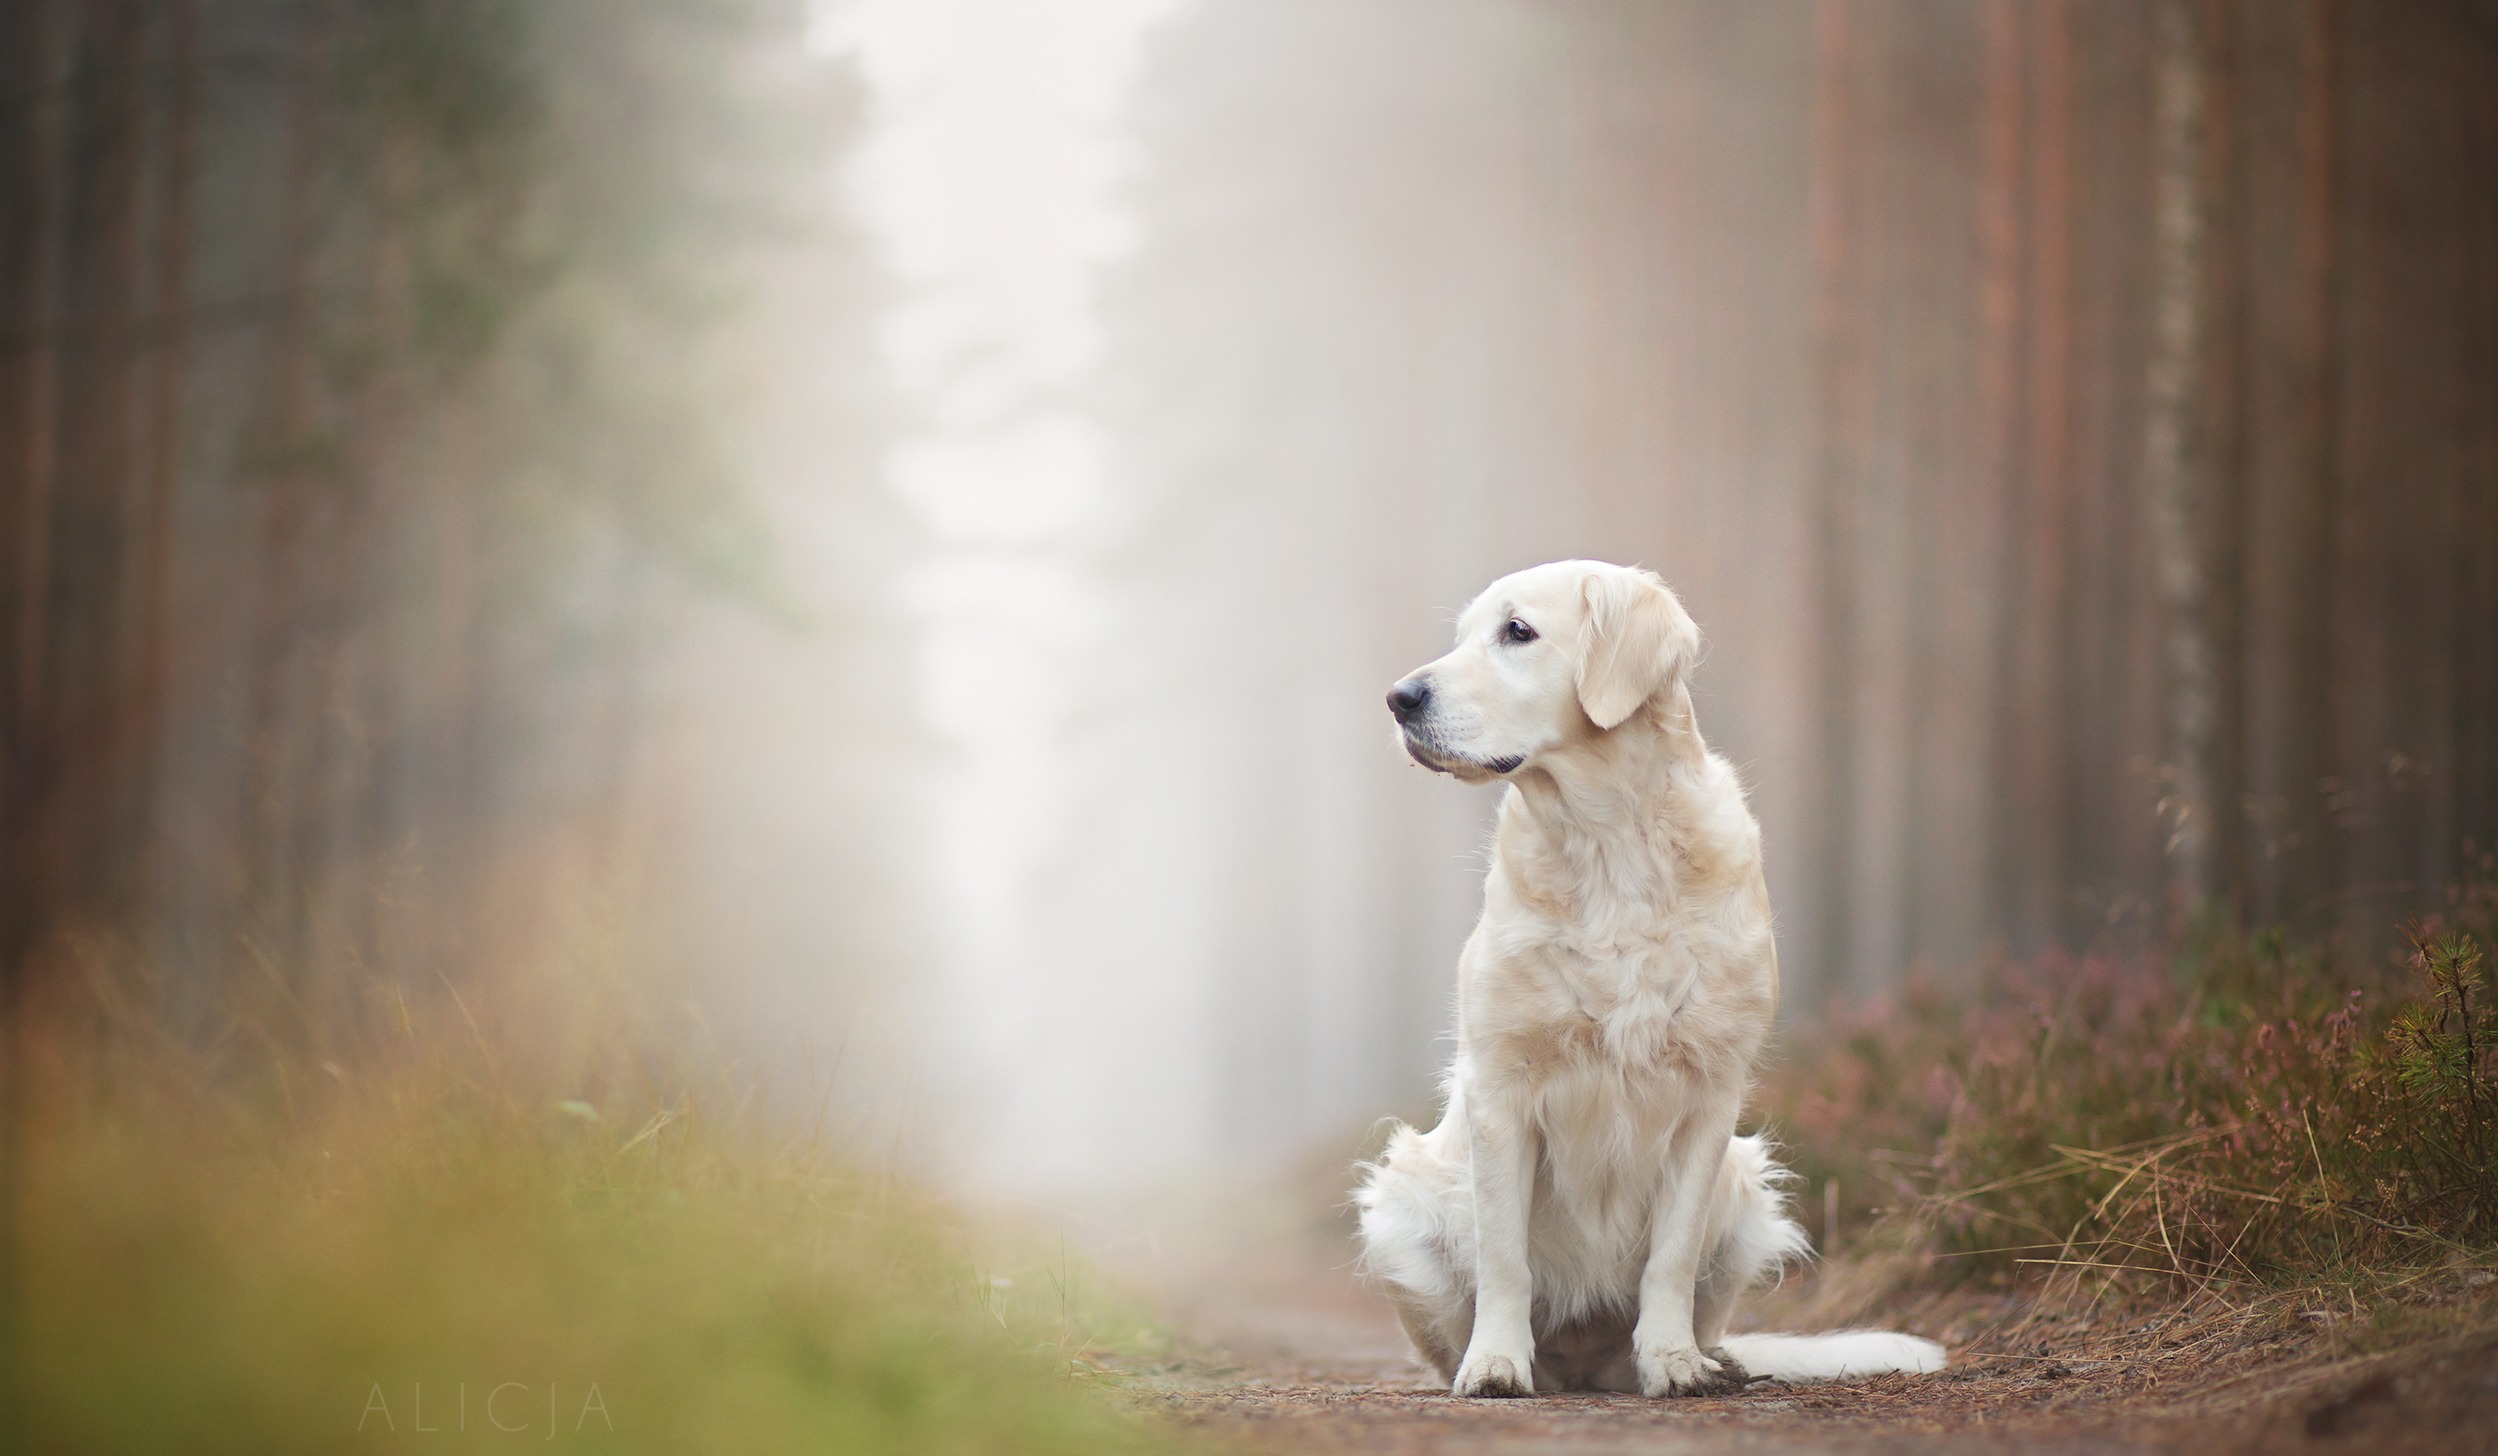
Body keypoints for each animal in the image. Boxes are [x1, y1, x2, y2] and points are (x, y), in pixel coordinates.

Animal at [1358, 561, 1938, 1398]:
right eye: (1463, 634)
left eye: (1518, 631)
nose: (1399, 697)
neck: (1609, 843)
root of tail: (1581, 1366)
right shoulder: (1502, 1086)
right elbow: (1505, 1256)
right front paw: (1496, 1363)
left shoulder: (1710, 1092)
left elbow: (1673, 1254)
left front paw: (1672, 1361)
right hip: (1402, 1200)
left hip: (1746, 1190)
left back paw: (1709, 1360)